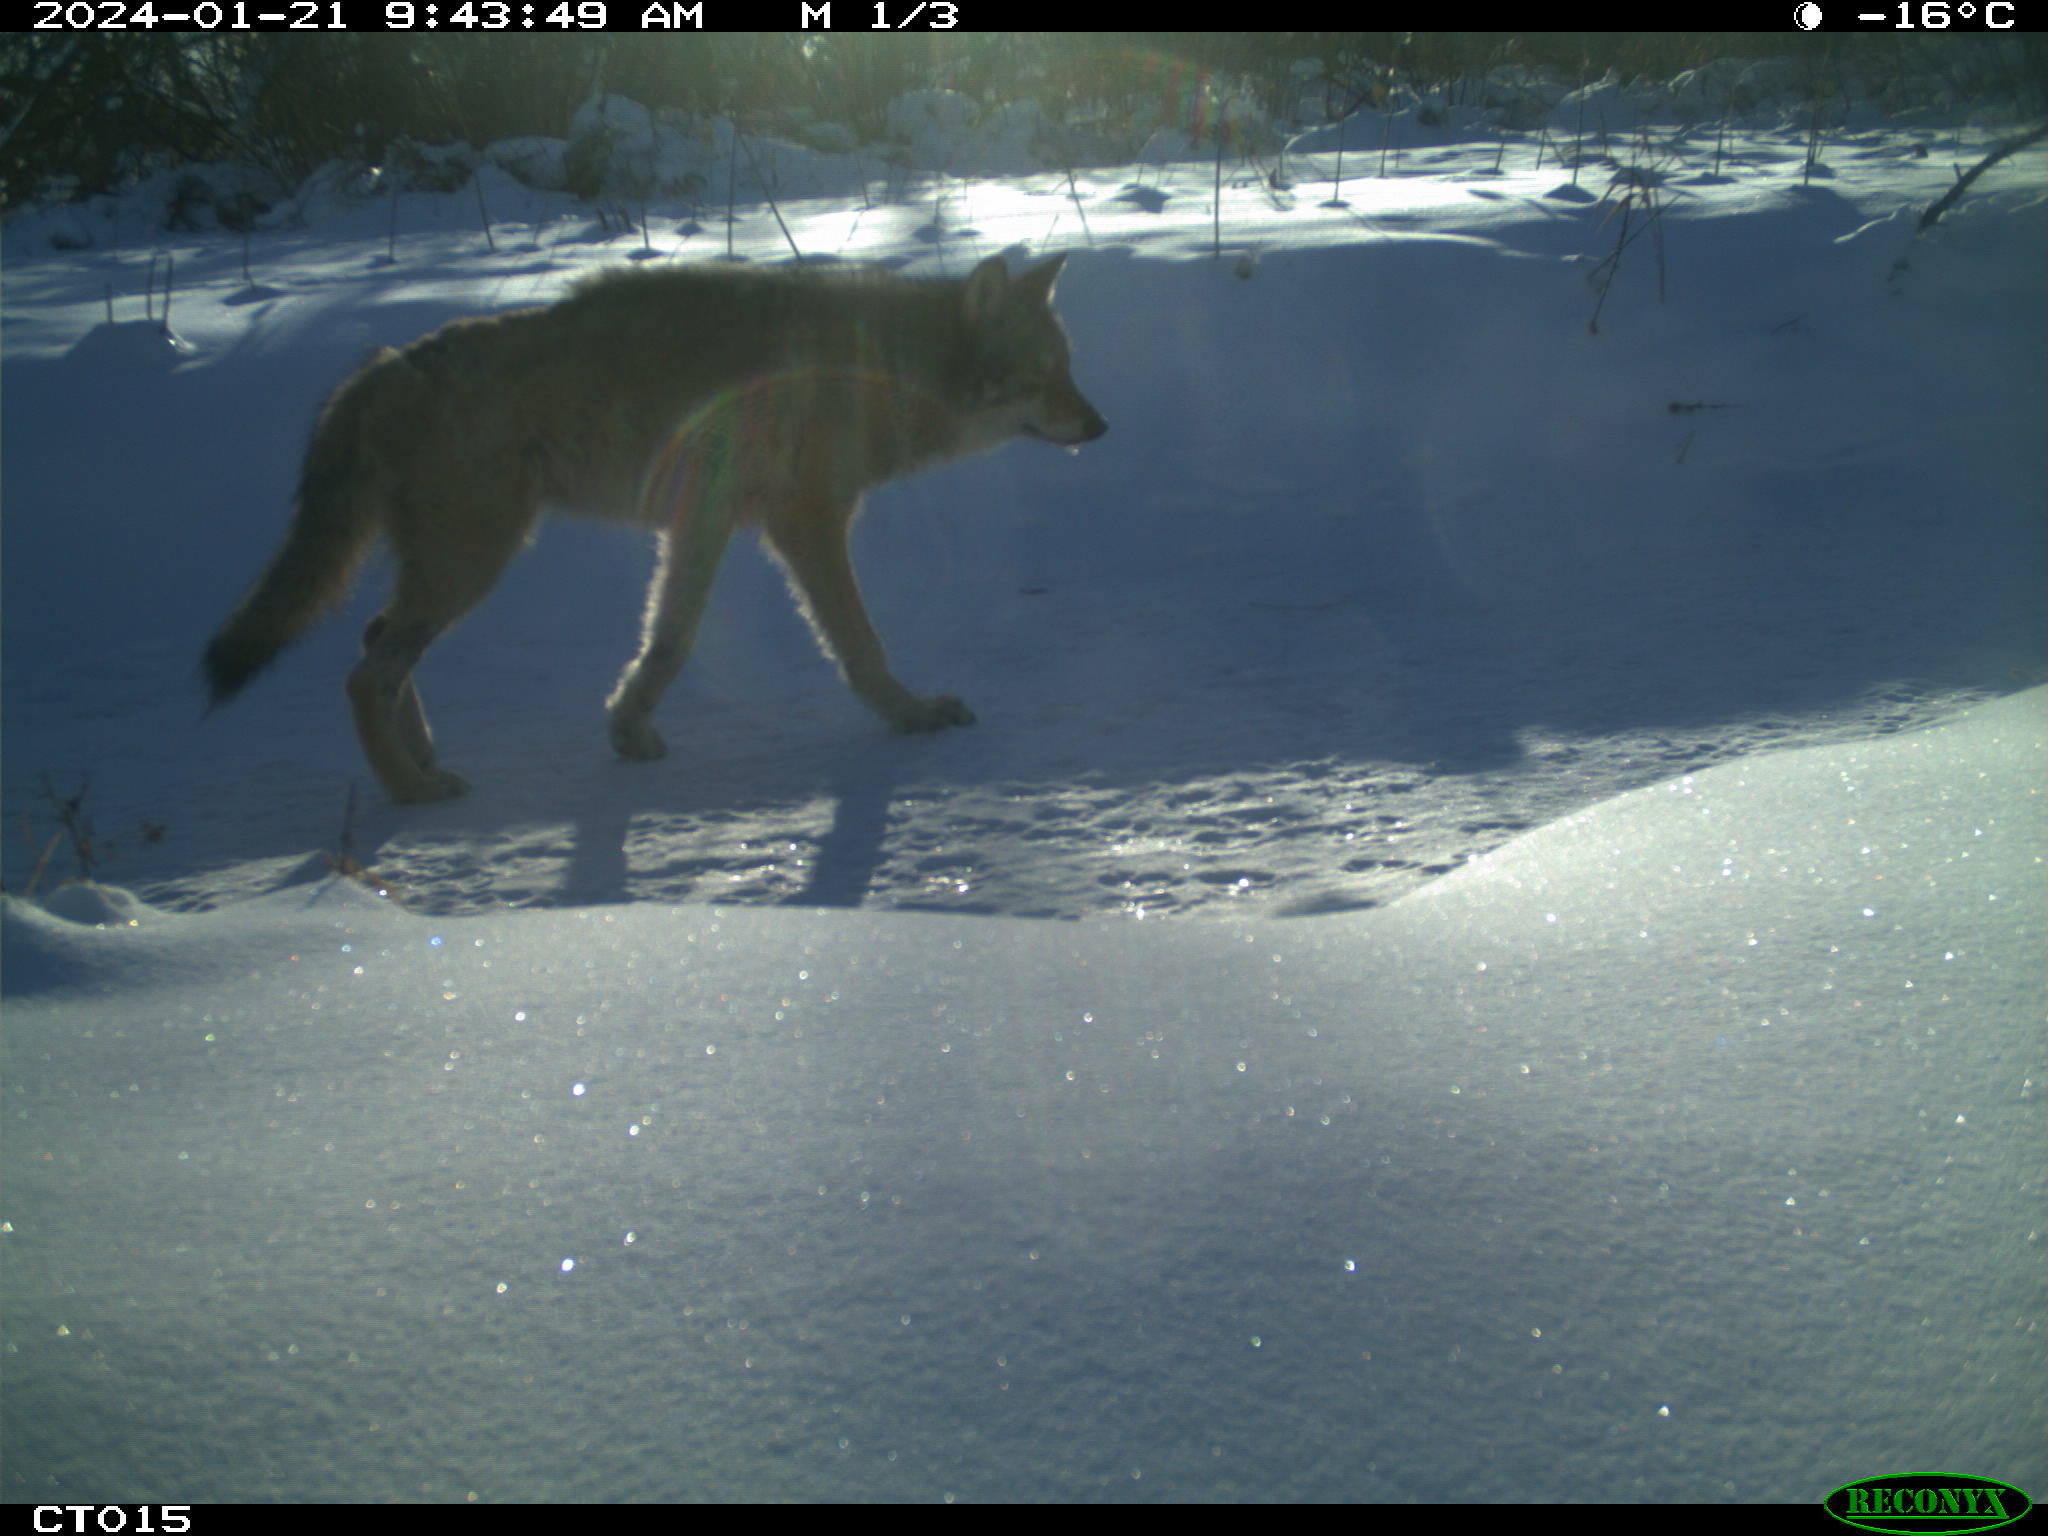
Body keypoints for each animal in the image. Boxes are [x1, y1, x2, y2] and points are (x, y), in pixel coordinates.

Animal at [203, 256, 1105, 806]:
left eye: (1068, 368)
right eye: (1043, 374)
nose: (1100, 426)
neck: (880, 365)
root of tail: (383, 365)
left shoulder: (702, 522)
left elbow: (669, 640)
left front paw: (627, 729)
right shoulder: (805, 523)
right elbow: (859, 645)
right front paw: (910, 717)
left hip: (455, 567)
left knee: (375, 644)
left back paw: (421, 759)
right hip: (475, 562)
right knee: (366, 673)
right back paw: (412, 792)